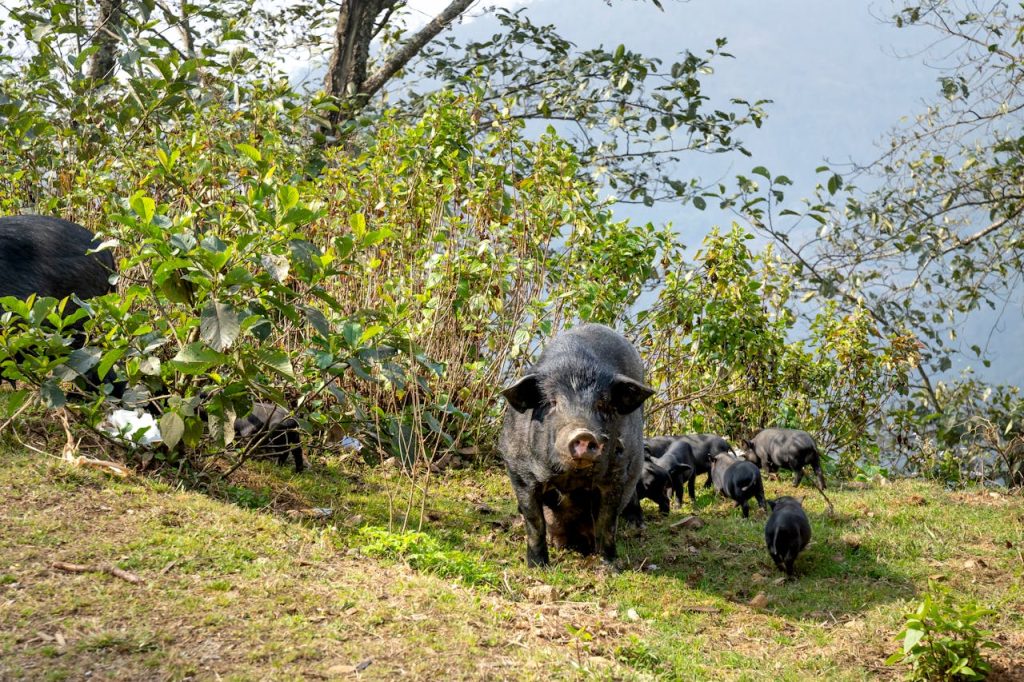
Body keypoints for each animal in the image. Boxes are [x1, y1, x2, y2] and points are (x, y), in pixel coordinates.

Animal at [499, 323, 655, 567]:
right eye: (552, 403)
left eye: (602, 405)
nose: (584, 433)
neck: (570, 479)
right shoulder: (519, 471)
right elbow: (535, 523)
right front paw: (538, 566)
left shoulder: (616, 473)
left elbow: (607, 524)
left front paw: (610, 566)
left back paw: (637, 525)